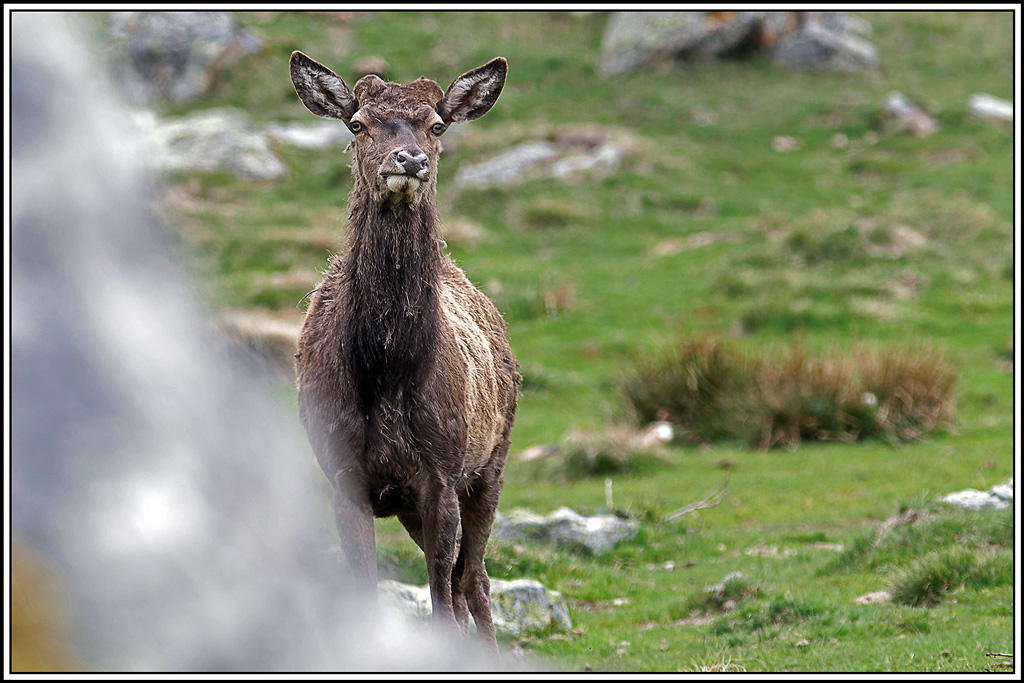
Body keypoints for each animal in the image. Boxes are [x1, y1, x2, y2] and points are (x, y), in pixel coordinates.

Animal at [289, 51, 521, 654]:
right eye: (357, 123)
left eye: (436, 125)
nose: (409, 159)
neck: (389, 373)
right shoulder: (342, 474)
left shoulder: (441, 471)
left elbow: (442, 600)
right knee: (464, 584)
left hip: (493, 459)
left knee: (472, 580)